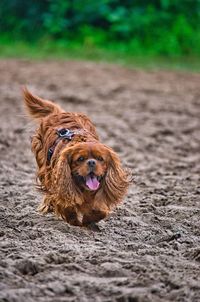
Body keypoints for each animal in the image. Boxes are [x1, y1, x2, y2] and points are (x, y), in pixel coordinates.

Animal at [23, 87, 130, 226]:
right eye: (80, 159)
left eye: (100, 159)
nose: (91, 162)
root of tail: (59, 113)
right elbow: (66, 206)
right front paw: (76, 222)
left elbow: (100, 211)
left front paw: (89, 220)